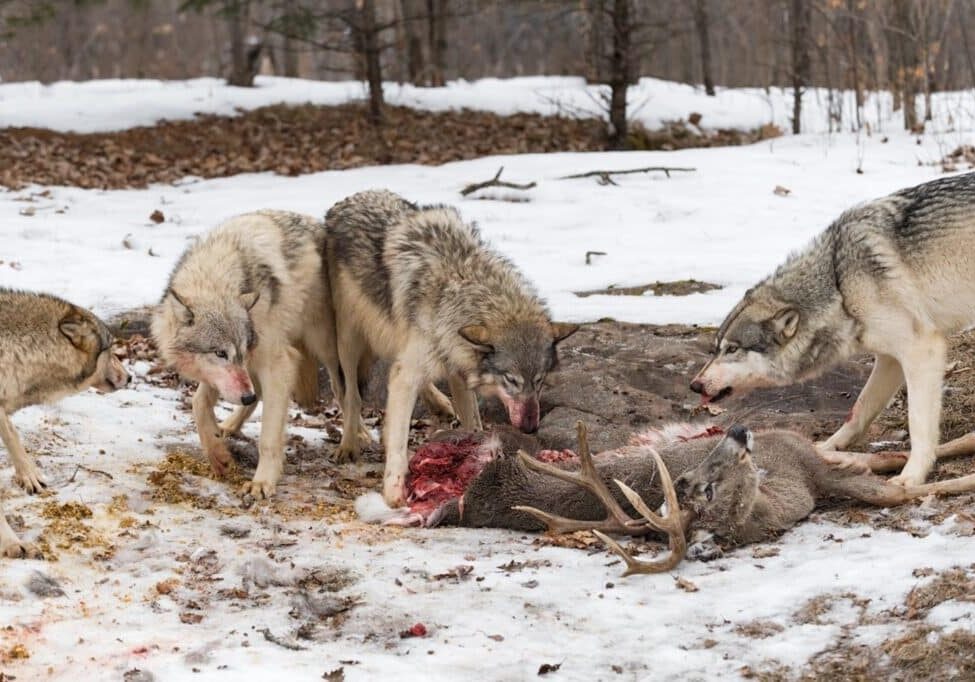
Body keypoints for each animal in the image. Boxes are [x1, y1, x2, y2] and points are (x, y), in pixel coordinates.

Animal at [151, 210, 341, 499]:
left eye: (238, 351)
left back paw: (353, 442)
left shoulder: (277, 363)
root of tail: (319, 225)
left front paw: (262, 482)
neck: (213, 278)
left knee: (347, 394)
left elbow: (269, 437)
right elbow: (198, 403)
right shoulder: (228, 371)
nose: (246, 395)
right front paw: (217, 454)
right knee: (254, 396)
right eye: (220, 353)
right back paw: (229, 425)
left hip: (325, 348)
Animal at [325, 190, 578, 506]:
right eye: (511, 380)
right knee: (350, 395)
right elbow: (397, 439)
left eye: (540, 381)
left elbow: (472, 422)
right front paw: (394, 488)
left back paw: (437, 404)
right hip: (349, 343)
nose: (531, 428)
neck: (458, 284)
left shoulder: (458, 367)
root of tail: (349, 199)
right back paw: (349, 443)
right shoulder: (409, 373)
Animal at [690, 172, 975, 487]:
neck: (839, 285)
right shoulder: (890, 359)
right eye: (715, 349)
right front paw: (826, 449)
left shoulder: (921, 350)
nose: (695, 385)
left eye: (732, 349)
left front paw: (911, 476)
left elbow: (918, 422)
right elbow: (859, 410)